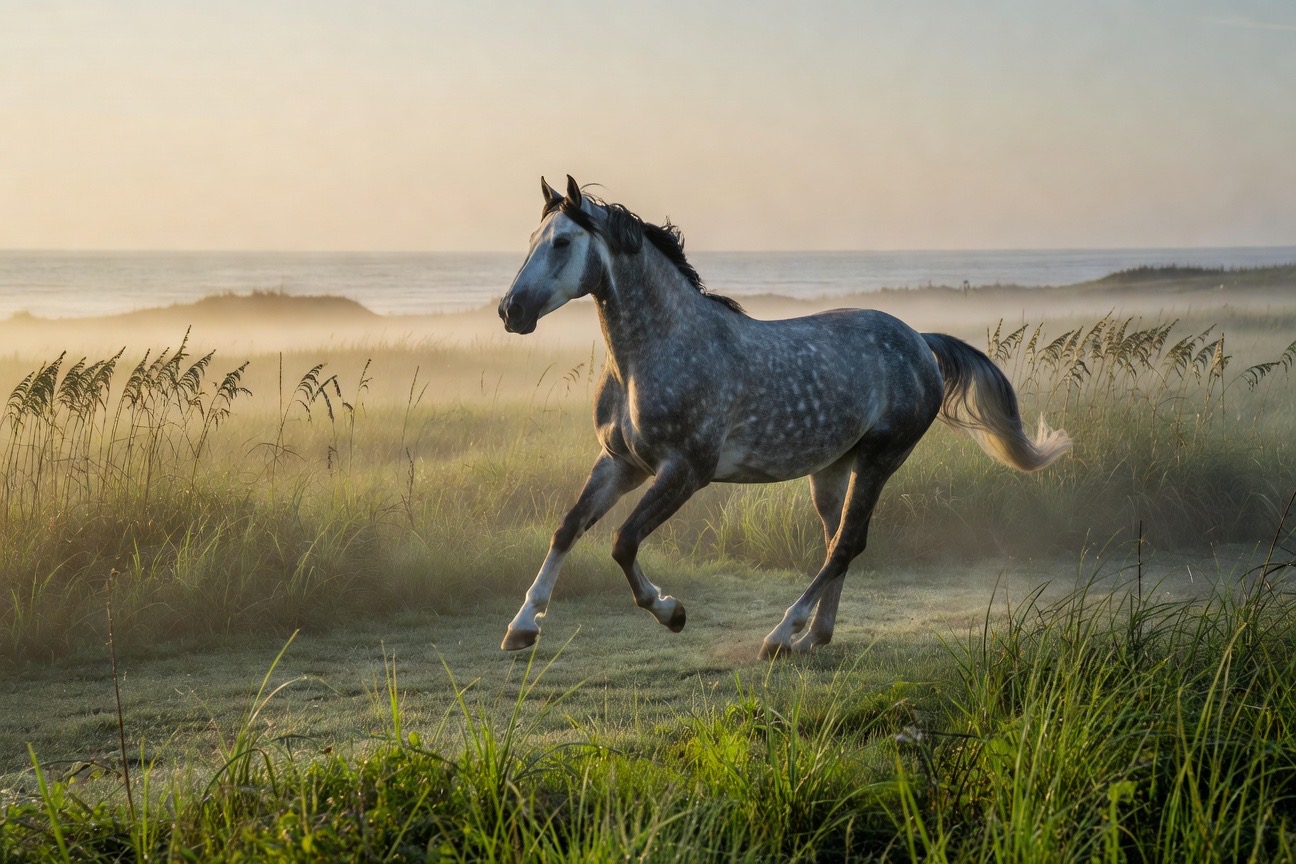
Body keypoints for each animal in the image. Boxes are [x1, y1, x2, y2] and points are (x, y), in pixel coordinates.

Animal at [497, 175, 1070, 659]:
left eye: (562, 243)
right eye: (532, 238)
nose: (510, 310)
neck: (657, 352)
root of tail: (921, 342)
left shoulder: (685, 471)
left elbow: (623, 542)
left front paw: (671, 612)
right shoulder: (621, 462)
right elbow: (568, 528)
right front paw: (522, 627)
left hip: (881, 458)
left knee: (846, 545)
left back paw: (782, 634)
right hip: (832, 468)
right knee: (838, 542)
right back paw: (815, 635)